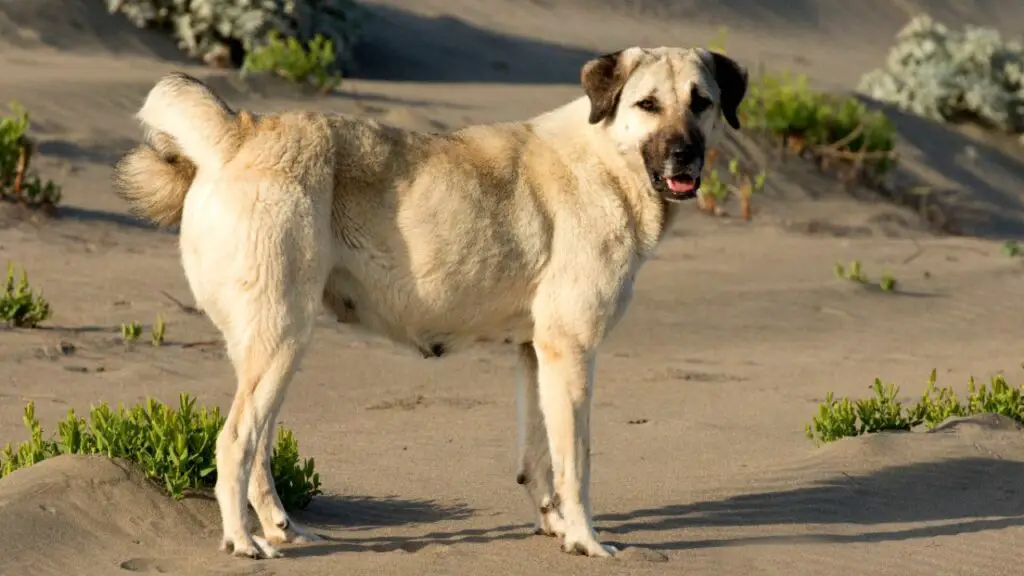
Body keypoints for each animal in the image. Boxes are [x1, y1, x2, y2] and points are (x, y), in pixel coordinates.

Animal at [112, 47, 749, 557]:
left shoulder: (536, 354)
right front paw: (588, 542)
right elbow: (577, 465)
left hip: (273, 349)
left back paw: (281, 530)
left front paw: (557, 530)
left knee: (259, 450)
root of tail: (240, 132)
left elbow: (540, 458)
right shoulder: (572, 351)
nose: (685, 156)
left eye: (701, 103)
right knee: (235, 444)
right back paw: (243, 542)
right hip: (282, 340)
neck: (608, 157)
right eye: (647, 104)